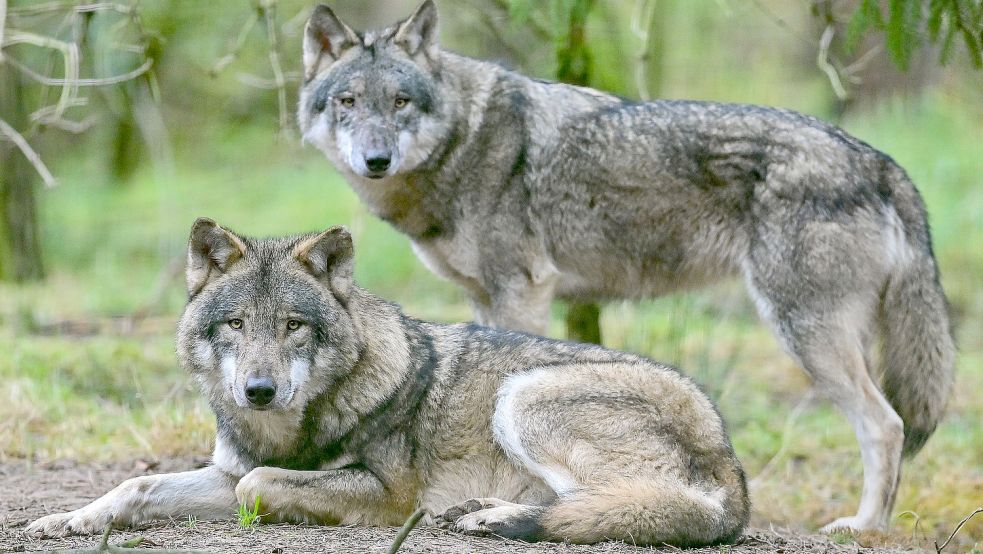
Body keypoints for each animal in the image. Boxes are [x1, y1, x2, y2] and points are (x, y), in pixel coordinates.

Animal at [26, 218, 752, 544]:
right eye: (234, 324)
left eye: (293, 326)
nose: (258, 390)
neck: (291, 428)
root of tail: (729, 460)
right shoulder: (227, 470)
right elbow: (140, 485)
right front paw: (67, 519)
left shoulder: (385, 494)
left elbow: (260, 486)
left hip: (524, 397)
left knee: (625, 506)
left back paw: (493, 517)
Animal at [296, 0, 956, 532]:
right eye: (348, 103)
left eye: (400, 102)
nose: (376, 159)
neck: (466, 139)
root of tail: (877, 159)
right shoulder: (486, 299)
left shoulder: (522, 292)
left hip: (805, 334)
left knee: (887, 426)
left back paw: (865, 527)